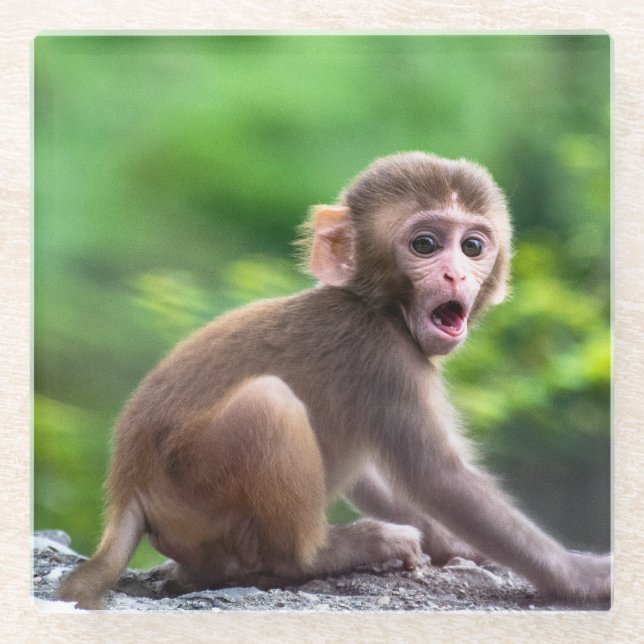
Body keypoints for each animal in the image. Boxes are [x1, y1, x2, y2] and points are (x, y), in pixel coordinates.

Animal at [58, 152, 611, 609]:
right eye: (426, 244)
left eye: (472, 246)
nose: (455, 275)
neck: (378, 306)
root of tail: (127, 489)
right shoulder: (384, 358)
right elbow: (437, 477)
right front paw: (580, 576)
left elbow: (380, 475)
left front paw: (453, 544)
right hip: (194, 487)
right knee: (270, 404)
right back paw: (327, 554)